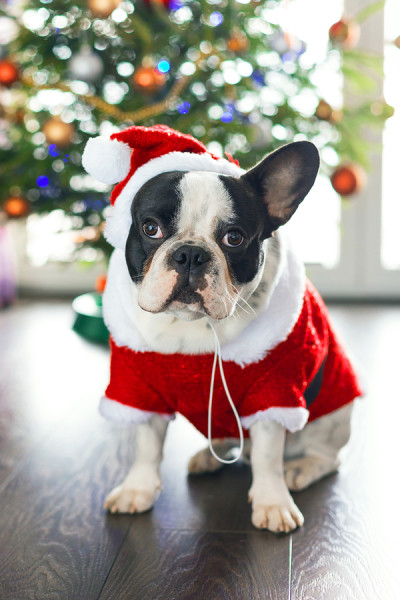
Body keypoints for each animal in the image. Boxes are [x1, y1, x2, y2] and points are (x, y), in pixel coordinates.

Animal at [83, 127, 360, 536]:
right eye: (150, 229)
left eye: (235, 238)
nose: (190, 254)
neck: (193, 328)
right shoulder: (140, 387)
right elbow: (147, 445)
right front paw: (137, 489)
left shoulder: (273, 390)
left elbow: (267, 456)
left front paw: (273, 502)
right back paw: (210, 457)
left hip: (330, 419)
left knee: (325, 456)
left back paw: (300, 469)